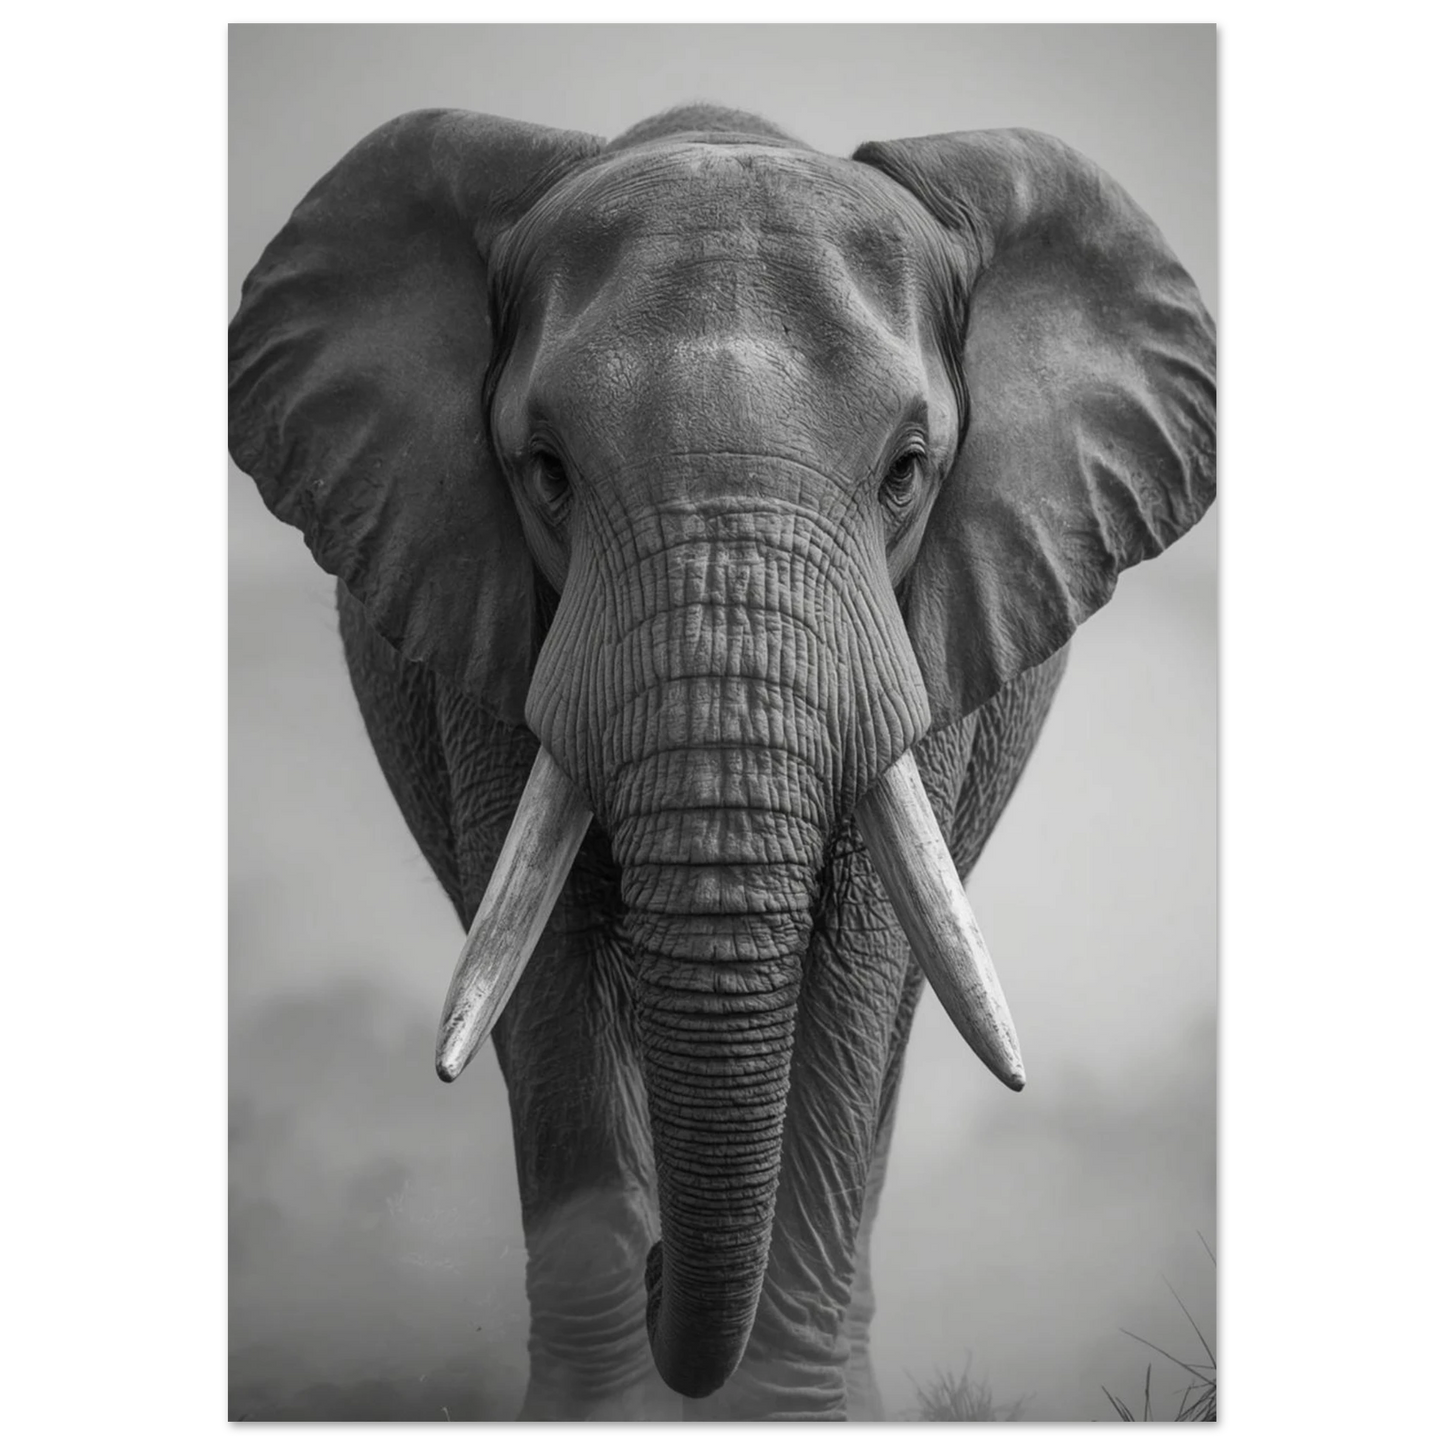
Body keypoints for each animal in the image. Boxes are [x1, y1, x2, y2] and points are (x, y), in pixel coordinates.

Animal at [226, 102, 1215, 1422]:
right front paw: (599, 1414)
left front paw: (789, 1415)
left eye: (906, 471)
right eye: (545, 469)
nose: (660, 1267)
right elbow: (546, 979)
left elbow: (851, 980)